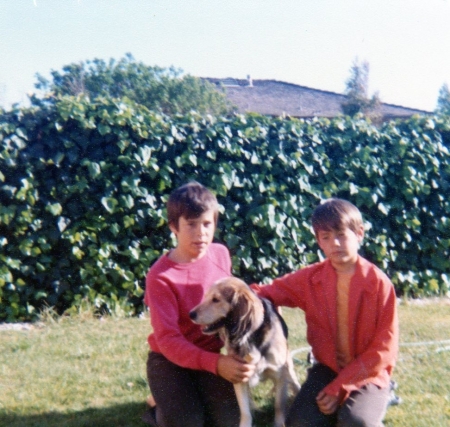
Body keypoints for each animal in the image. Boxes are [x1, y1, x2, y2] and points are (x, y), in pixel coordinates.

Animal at [188, 278, 300, 427]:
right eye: (205, 297)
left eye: (216, 299)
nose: (191, 314)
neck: (250, 335)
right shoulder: (238, 374)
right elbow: (245, 411)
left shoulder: (280, 374)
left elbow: (278, 406)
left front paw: (279, 423)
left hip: (289, 370)